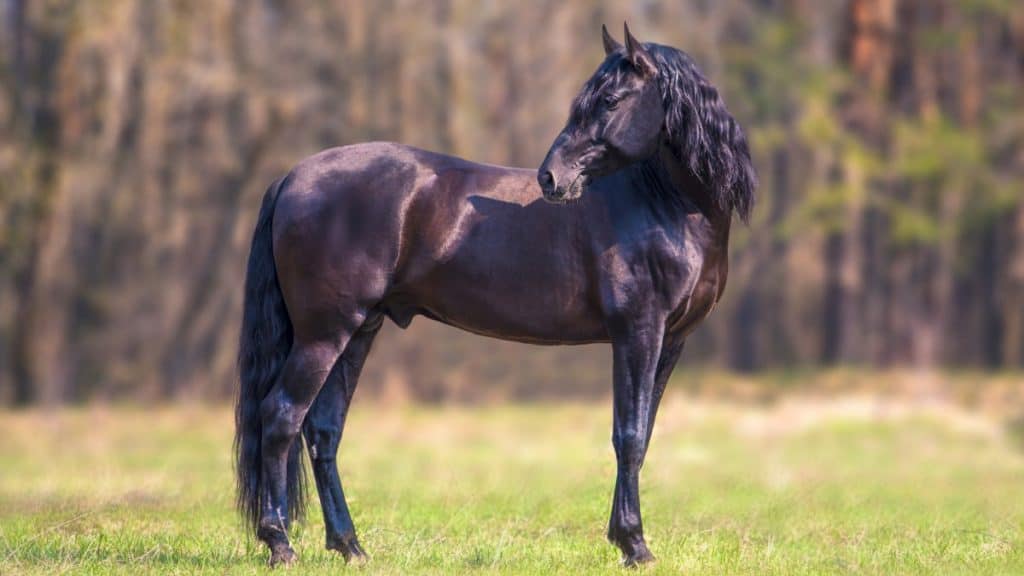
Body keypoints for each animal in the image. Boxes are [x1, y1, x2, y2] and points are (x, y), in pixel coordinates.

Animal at [235, 23, 757, 565]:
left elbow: (644, 434)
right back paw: (280, 544)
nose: (552, 177)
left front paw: (625, 538)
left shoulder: (670, 340)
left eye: (611, 100)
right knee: (280, 417)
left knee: (323, 430)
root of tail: (291, 177)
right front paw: (634, 544)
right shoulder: (638, 332)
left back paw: (349, 545)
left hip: (359, 329)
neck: (665, 204)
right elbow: (628, 436)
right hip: (324, 334)